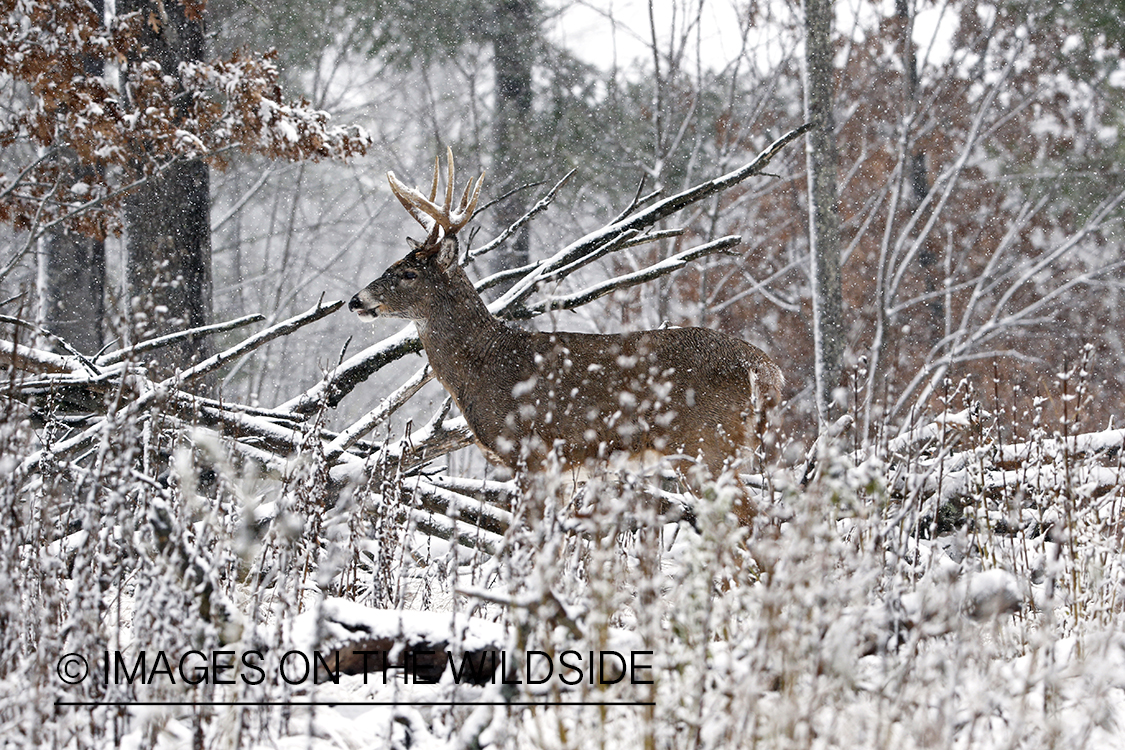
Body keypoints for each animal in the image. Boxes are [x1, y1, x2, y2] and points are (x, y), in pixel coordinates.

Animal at [348, 149, 783, 526]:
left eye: (408, 273)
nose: (356, 300)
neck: (487, 365)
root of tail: (769, 372)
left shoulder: (532, 451)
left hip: (707, 446)